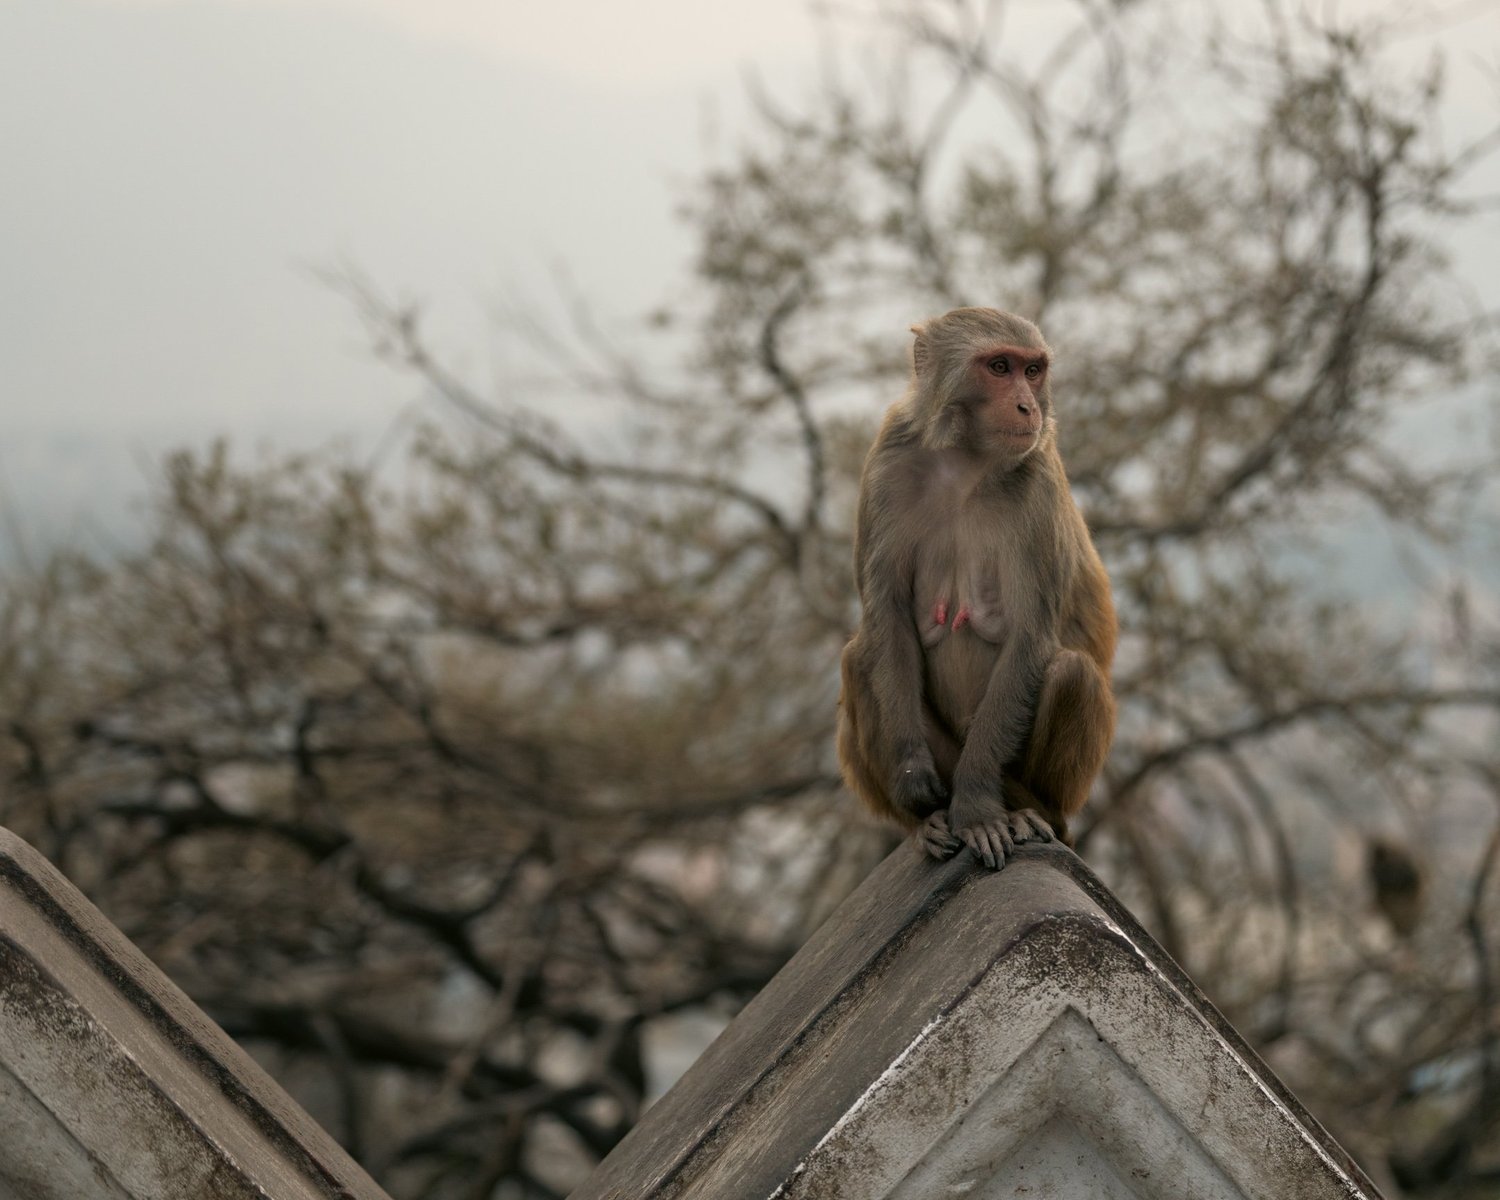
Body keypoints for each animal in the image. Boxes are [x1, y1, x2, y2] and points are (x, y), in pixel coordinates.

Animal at [837, 307, 1117, 869]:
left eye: (1033, 370)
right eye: (1000, 366)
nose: (1027, 406)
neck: (964, 460)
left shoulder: (1038, 485)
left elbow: (1029, 639)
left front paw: (978, 809)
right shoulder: (886, 465)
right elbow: (888, 619)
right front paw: (914, 779)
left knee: (1071, 673)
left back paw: (1030, 813)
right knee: (860, 658)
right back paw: (925, 823)